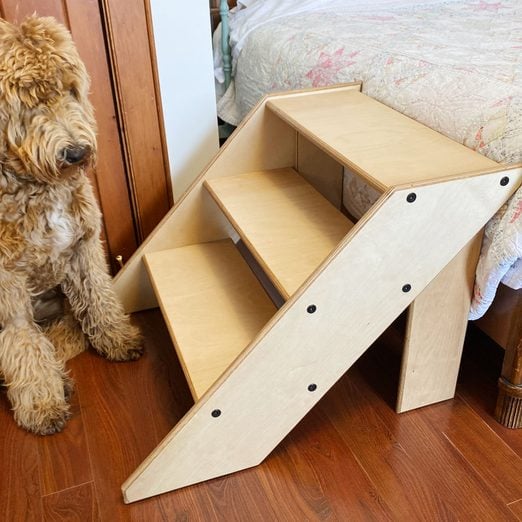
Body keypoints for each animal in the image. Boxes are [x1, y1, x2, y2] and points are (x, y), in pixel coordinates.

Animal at [0, 17, 142, 434]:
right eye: (27, 100)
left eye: (70, 89)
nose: (76, 153)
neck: (40, 188)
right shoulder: (8, 285)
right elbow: (21, 342)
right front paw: (41, 405)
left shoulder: (84, 247)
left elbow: (99, 298)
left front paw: (117, 338)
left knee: (63, 336)